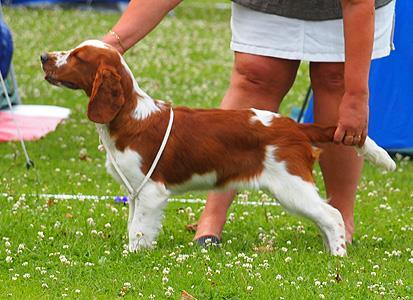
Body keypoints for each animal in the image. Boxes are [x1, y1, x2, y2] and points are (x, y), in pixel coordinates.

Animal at [41, 39, 396, 255]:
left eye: (77, 57)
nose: (44, 57)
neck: (129, 113)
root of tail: (294, 125)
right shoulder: (136, 190)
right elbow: (135, 227)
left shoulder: (152, 191)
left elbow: (139, 231)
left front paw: (133, 256)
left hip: (291, 185)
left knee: (332, 214)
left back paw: (337, 255)